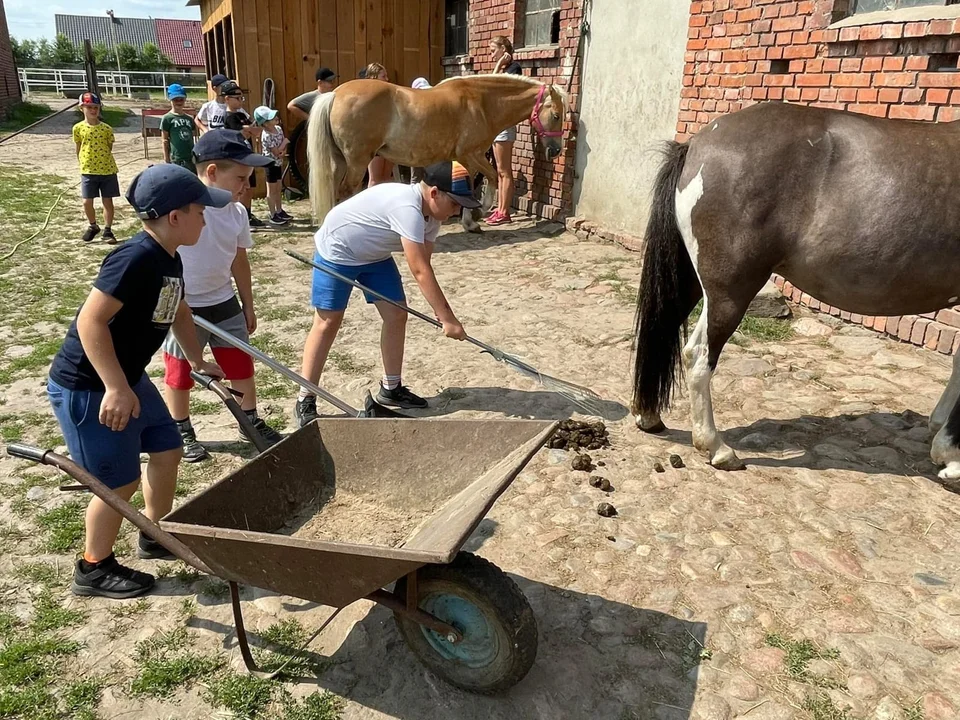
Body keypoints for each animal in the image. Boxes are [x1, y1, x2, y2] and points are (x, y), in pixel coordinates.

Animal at [304, 74, 568, 226]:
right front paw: (478, 213)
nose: (556, 150)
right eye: (556, 115)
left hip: (340, 162)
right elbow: (492, 178)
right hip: (357, 162)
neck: (481, 102)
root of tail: (335, 94)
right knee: (346, 191)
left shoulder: (466, 160)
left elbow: (469, 184)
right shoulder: (471, 154)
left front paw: (469, 220)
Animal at [632, 101, 960, 480]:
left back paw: (648, 415)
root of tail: (697, 145)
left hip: (691, 279)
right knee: (698, 354)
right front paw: (951, 456)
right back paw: (716, 448)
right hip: (730, 292)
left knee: (663, 327)